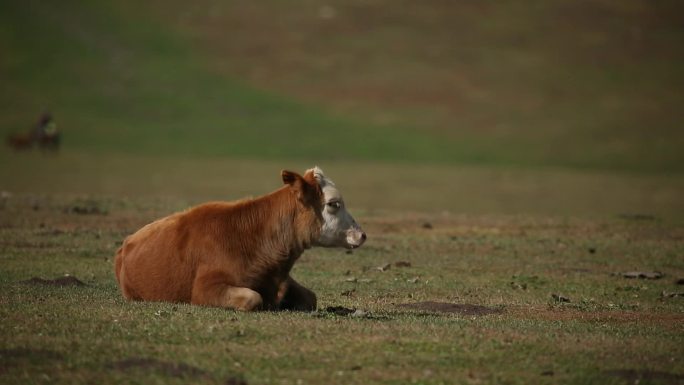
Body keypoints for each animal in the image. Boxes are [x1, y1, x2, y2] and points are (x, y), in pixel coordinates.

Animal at [115, 166, 366, 310]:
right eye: (333, 204)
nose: (362, 235)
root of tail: (126, 244)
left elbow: (310, 297)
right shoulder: (204, 288)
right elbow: (252, 298)